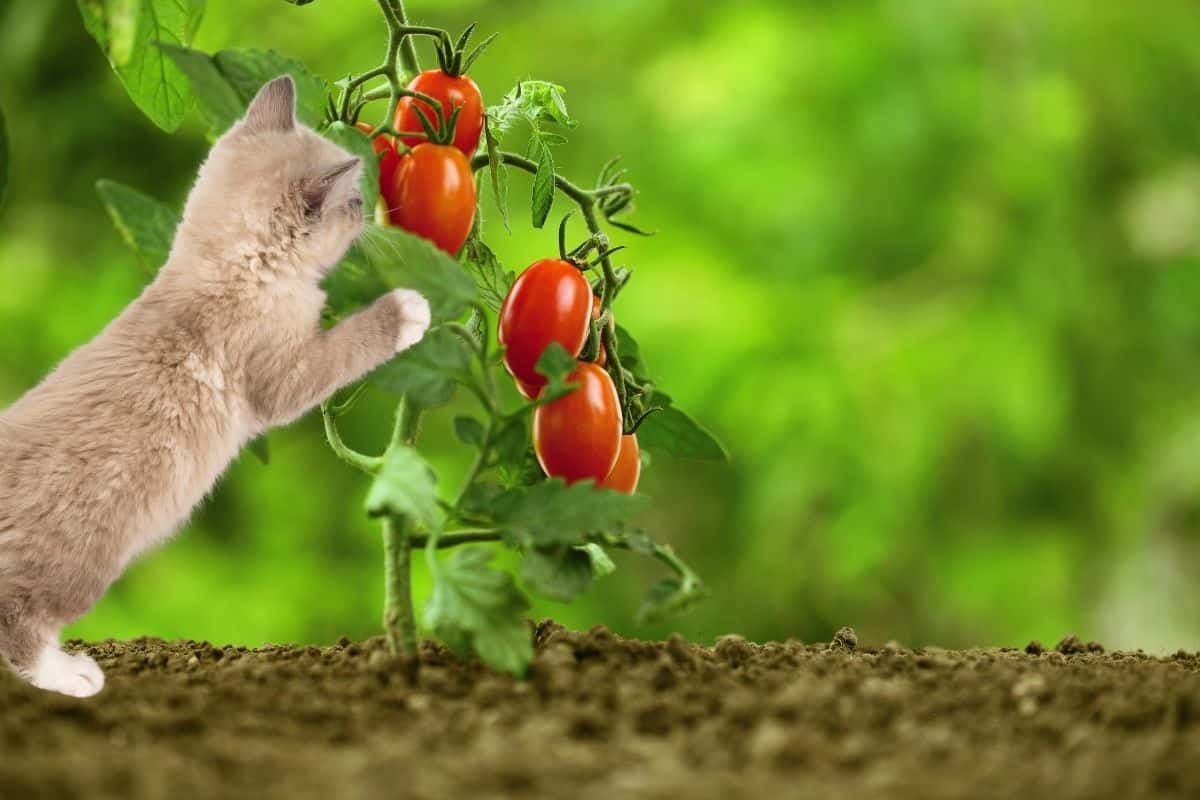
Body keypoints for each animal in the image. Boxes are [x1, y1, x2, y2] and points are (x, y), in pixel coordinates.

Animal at [0, 77, 432, 695]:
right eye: (351, 200)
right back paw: (71, 675)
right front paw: (408, 310)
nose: (368, 211)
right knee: (19, 621)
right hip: (79, 561)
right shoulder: (290, 376)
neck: (234, 266)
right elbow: (352, 339)